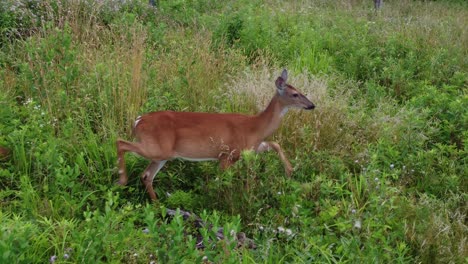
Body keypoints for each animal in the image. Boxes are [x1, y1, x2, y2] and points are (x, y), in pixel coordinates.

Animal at [116, 69, 314, 200]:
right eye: (295, 94)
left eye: (301, 91)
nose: (312, 105)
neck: (255, 127)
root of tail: (138, 121)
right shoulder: (228, 154)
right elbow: (221, 180)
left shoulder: (251, 148)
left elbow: (275, 144)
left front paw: (289, 171)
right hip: (157, 148)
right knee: (121, 142)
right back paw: (122, 179)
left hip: (162, 154)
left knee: (146, 175)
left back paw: (157, 204)